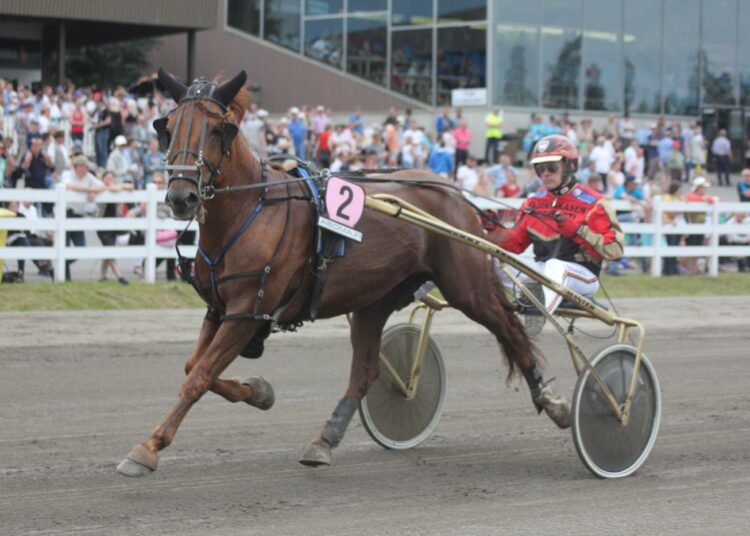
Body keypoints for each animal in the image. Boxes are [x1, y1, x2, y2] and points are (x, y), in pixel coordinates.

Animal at [116, 68, 568, 478]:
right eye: (167, 126)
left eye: (216, 129)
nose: (181, 196)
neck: (250, 208)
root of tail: (450, 190)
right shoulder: (219, 308)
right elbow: (195, 368)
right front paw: (259, 391)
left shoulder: (247, 310)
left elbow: (199, 376)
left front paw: (148, 448)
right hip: (374, 299)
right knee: (365, 373)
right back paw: (325, 439)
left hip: (466, 287)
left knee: (511, 331)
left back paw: (553, 401)